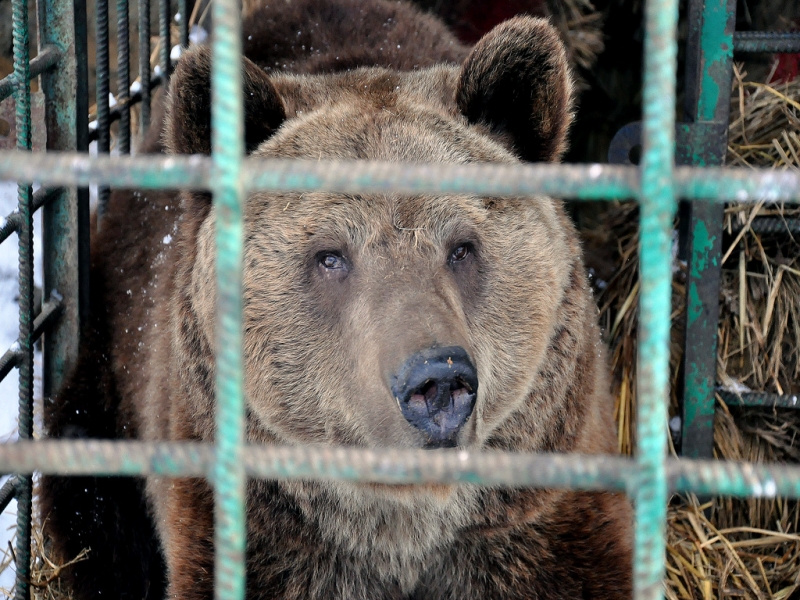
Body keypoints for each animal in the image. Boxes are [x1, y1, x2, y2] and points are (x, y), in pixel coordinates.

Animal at [42, 0, 632, 596]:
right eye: (330, 256)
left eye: (462, 246)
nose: (437, 381)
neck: (404, 531)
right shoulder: (259, 533)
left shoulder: (541, 516)